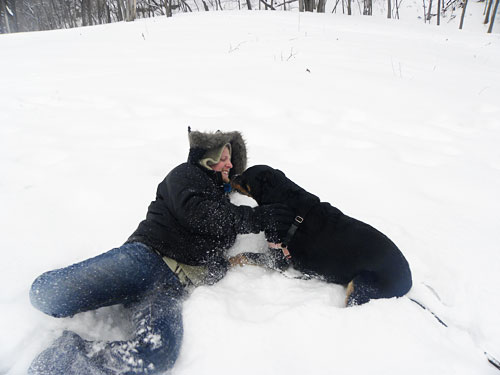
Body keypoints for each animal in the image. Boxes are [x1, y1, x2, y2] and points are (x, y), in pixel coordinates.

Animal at [232, 166, 412, 306]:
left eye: (244, 175)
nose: (232, 175)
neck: (283, 199)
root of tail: (408, 282)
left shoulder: (277, 258)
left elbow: (242, 255)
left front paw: (229, 261)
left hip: (361, 284)